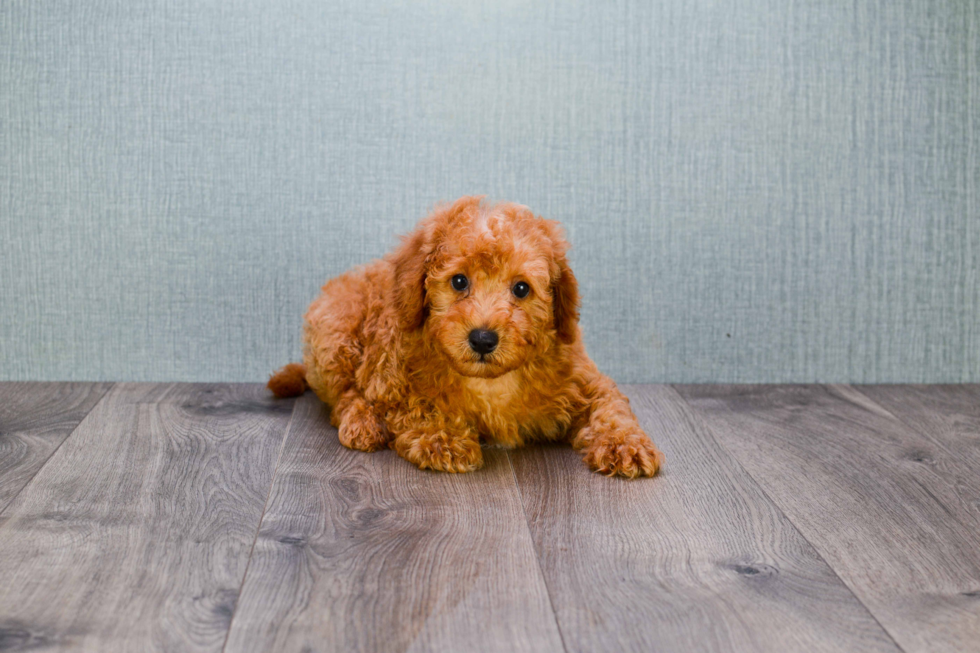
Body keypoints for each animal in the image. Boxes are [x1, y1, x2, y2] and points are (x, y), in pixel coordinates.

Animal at [272, 196, 664, 476]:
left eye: (521, 288)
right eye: (459, 281)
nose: (483, 339)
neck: (490, 382)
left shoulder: (584, 378)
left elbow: (611, 407)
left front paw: (625, 445)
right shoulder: (390, 378)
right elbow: (416, 405)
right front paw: (442, 438)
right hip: (335, 329)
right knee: (343, 395)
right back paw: (362, 424)